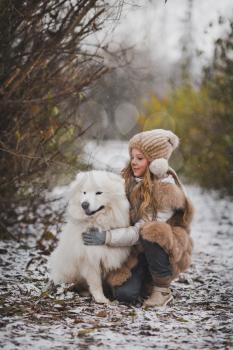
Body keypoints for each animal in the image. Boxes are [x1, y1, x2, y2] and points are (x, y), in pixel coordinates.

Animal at [48, 170, 130, 304]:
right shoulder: (90, 259)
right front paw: (101, 299)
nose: (84, 204)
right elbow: (95, 283)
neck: (97, 224)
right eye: (84, 192)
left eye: (99, 192)